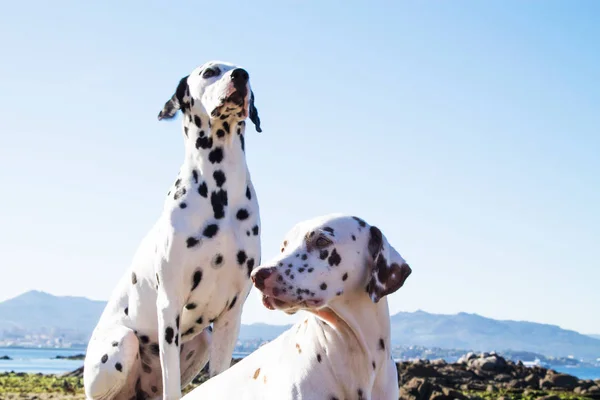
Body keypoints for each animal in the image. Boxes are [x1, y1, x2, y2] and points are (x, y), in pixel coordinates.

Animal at [82, 60, 262, 400]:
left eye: (243, 71)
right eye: (210, 72)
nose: (241, 76)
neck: (220, 194)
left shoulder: (231, 315)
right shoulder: (169, 307)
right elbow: (172, 386)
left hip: (202, 341)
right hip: (122, 344)